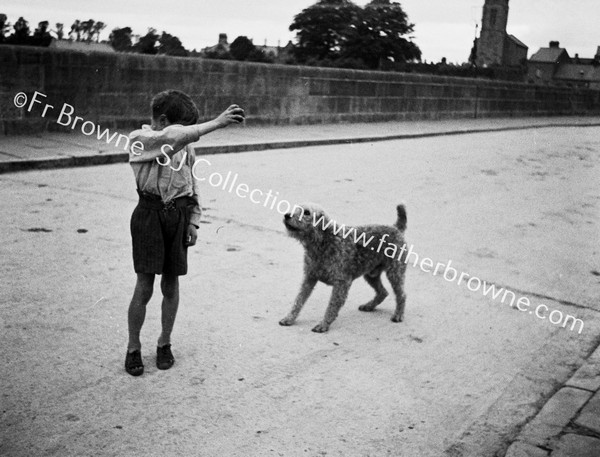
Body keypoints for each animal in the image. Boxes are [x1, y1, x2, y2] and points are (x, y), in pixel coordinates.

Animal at [282, 203, 408, 332]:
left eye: (307, 212)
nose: (287, 215)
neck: (322, 243)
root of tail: (396, 228)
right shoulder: (309, 278)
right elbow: (299, 300)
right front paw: (289, 318)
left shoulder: (341, 282)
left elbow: (332, 305)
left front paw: (324, 324)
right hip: (371, 275)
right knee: (383, 292)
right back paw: (369, 306)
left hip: (395, 273)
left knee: (401, 295)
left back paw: (398, 315)